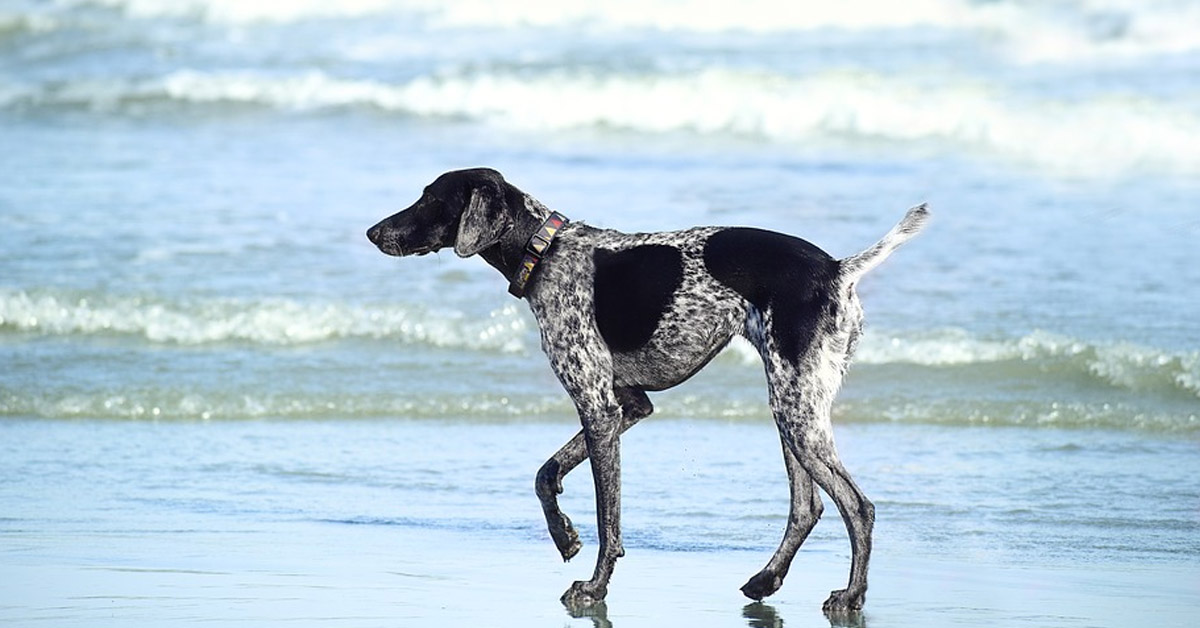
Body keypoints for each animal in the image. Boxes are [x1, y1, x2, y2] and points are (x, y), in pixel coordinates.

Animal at [364, 166, 926, 614]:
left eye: (431, 199)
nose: (372, 231)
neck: (544, 252)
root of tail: (837, 270)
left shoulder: (600, 410)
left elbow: (607, 520)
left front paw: (594, 587)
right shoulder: (628, 406)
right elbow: (546, 475)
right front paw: (563, 535)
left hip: (796, 411)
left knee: (857, 507)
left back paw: (851, 596)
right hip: (793, 409)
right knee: (808, 508)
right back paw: (766, 580)